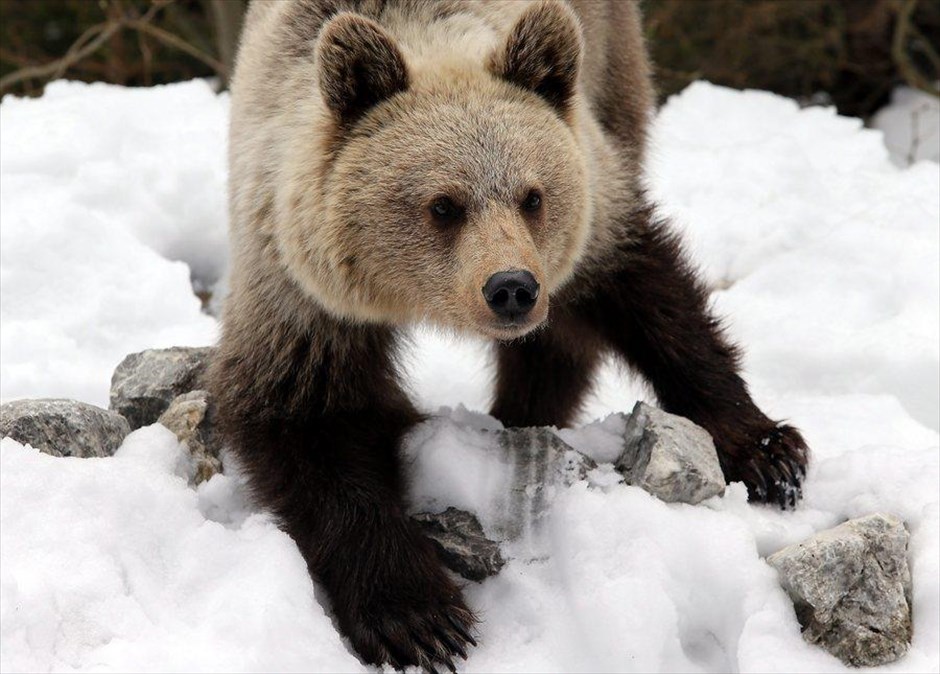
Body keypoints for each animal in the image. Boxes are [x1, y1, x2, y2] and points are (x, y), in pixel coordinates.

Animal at [209, 1, 812, 668]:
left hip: (615, 72)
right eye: (443, 205)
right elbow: (311, 425)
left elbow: (657, 301)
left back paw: (524, 413)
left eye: (533, 196)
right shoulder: (303, 297)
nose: (512, 287)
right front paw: (418, 617)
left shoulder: (594, 212)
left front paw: (768, 453)